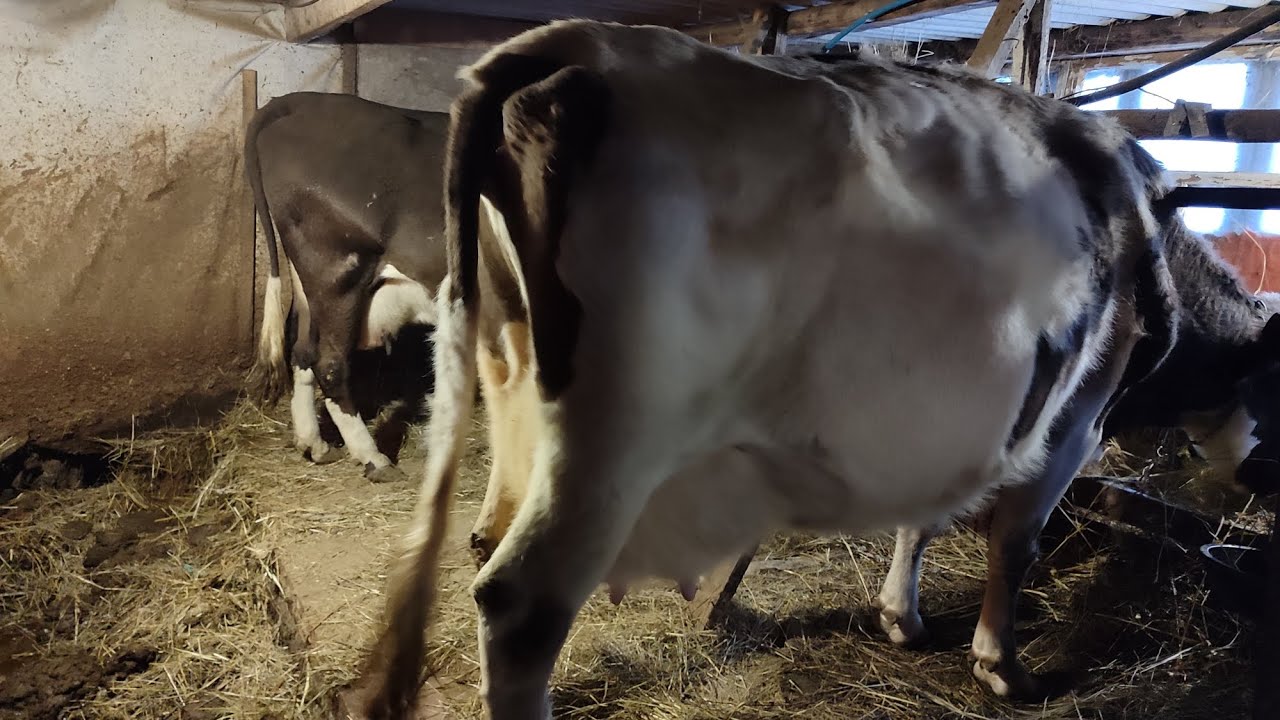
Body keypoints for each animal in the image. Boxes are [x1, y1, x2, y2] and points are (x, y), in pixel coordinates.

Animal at [244, 92, 449, 483]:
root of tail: (295, 101)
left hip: (310, 284)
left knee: (302, 350)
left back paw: (315, 444)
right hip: (340, 272)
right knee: (330, 363)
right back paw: (373, 458)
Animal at [348, 20, 1193, 718]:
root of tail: (569, 43)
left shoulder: (952, 424)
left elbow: (923, 514)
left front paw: (903, 616)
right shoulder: (1079, 414)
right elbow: (1015, 542)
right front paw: (1003, 666)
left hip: (510, 373)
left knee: (487, 540)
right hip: (614, 442)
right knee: (521, 605)